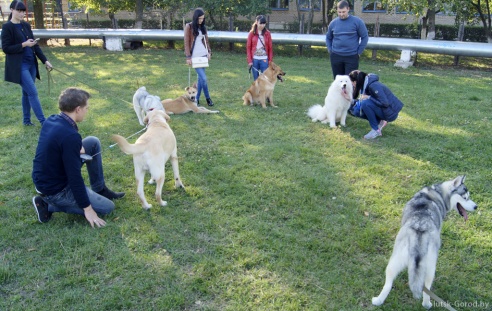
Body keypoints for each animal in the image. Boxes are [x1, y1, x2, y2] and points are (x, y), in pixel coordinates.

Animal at [372, 176, 476, 310]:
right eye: (465, 198)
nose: (476, 207)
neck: (437, 193)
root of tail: (420, 228)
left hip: (394, 261)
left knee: (388, 284)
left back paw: (378, 300)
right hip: (430, 266)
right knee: (426, 287)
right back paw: (427, 304)